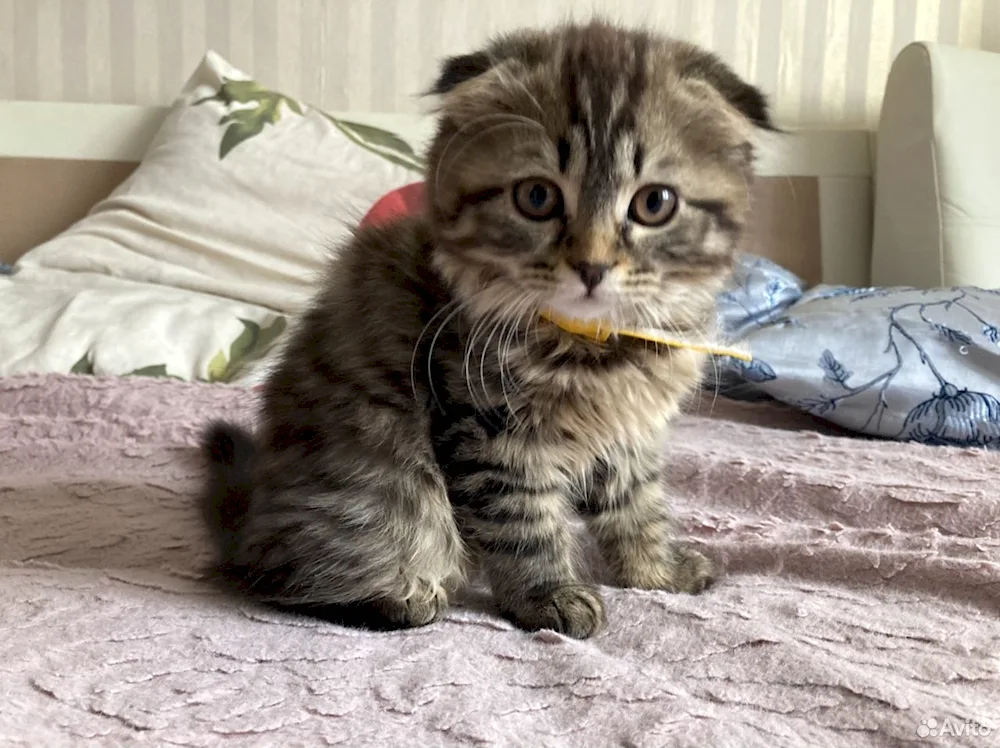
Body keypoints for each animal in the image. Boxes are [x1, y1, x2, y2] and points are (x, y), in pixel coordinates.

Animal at [199, 20, 768, 640]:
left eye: (655, 204)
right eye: (537, 197)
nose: (592, 267)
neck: (593, 347)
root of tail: (247, 514)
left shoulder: (628, 436)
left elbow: (636, 508)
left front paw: (657, 571)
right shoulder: (490, 432)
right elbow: (525, 524)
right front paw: (550, 597)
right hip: (374, 495)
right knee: (285, 577)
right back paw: (403, 597)